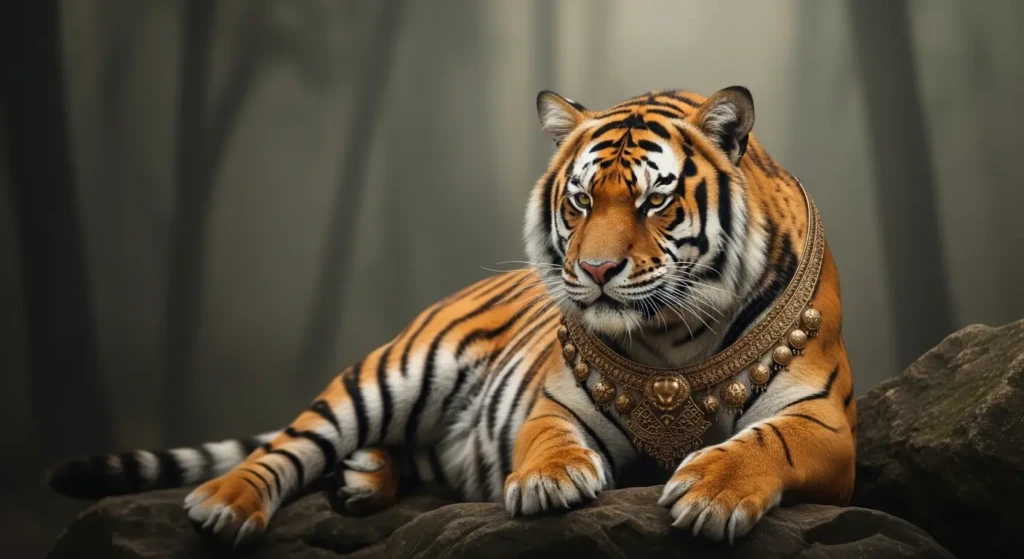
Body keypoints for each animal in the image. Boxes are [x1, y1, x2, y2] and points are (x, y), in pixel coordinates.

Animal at [48, 86, 856, 548]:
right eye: (580, 200)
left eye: (655, 200)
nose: (595, 271)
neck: (672, 342)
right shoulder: (556, 402)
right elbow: (548, 439)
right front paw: (548, 482)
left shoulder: (823, 420)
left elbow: (767, 441)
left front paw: (711, 491)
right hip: (391, 374)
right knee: (288, 443)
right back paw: (225, 503)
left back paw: (363, 477)